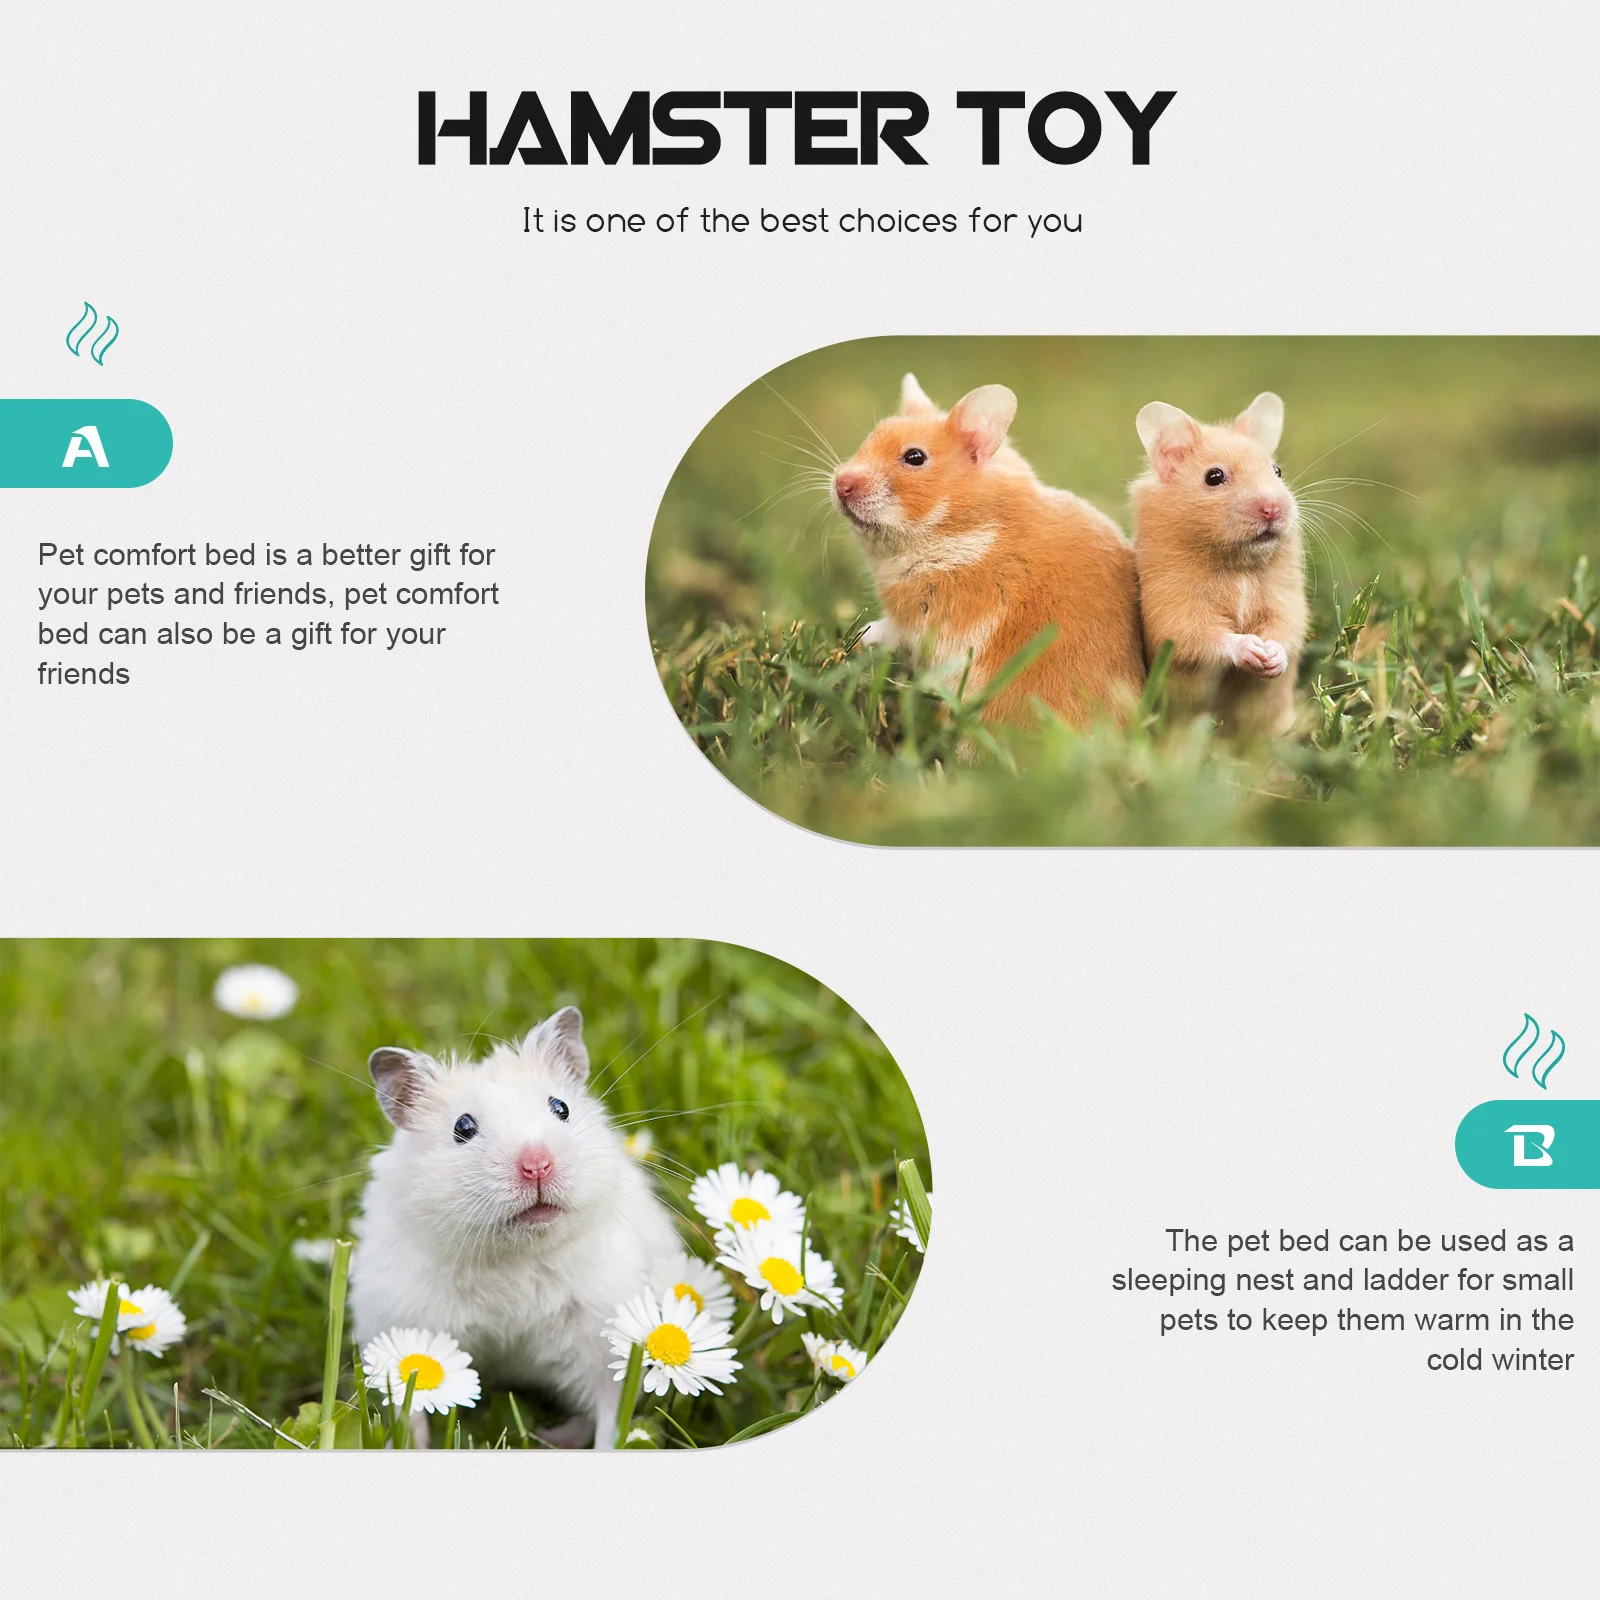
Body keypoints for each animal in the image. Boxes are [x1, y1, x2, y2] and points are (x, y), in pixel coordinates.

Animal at [349, 1007, 680, 1449]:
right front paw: (407, 1446)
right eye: (463, 1127)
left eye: (561, 1107)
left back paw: (549, 1436)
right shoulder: (403, 1323)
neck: (513, 1255)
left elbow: (611, 1410)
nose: (537, 1165)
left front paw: (609, 1448)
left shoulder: (602, 1335)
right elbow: (410, 1405)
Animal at [831, 373, 1146, 731]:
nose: (840, 485)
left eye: (915, 457)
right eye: (871, 437)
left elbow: (890, 630)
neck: (962, 530)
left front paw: (862, 637)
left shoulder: (924, 618)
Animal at [1131, 393, 1308, 738]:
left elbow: (1287, 628)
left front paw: (1271, 657)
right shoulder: (1174, 609)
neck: (1237, 564)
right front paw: (1253, 650)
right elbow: (1203, 636)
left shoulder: (1285, 598)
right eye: (1214, 476)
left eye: (1277, 470)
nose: (1273, 509)